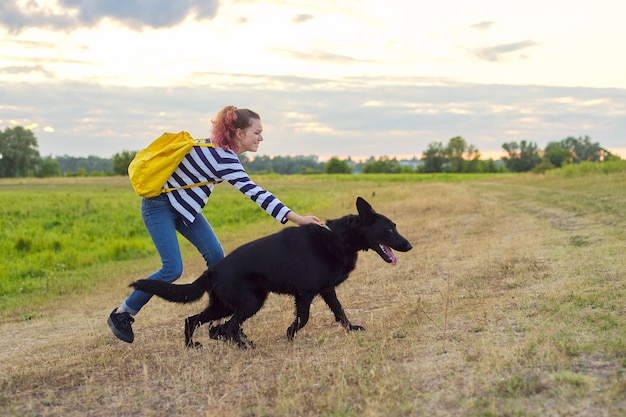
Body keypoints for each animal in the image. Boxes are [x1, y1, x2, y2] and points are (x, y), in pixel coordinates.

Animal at [130, 197, 412, 346]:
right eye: (390, 229)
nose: (409, 246)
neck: (339, 238)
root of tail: (213, 271)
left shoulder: (327, 291)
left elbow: (340, 312)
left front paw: (351, 329)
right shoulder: (305, 293)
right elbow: (304, 318)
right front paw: (289, 334)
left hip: (224, 305)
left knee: (194, 320)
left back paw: (194, 346)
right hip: (250, 302)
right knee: (229, 327)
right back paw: (244, 346)